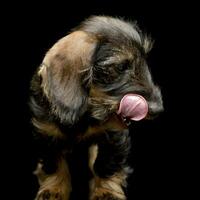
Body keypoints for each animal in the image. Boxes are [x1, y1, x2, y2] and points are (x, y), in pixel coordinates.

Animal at [30, 16, 164, 200]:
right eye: (120, 67)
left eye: (144, 63)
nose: (158, 108)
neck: (88, 112)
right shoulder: (46, 133)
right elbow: (54, 163)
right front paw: (54, 189)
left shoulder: (113, 136)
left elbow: (105, 164)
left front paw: (106, 192)